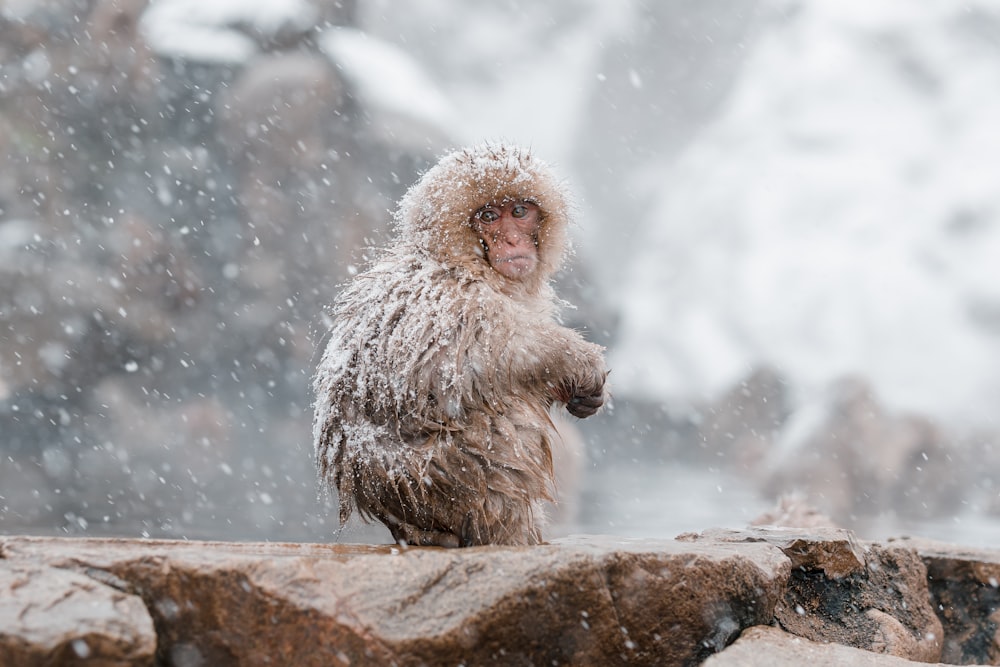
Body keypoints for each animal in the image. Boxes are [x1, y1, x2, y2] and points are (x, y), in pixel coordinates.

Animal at [312, 142, 608, 548]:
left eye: (519, 212)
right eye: (488, 216)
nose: (512, 240)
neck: (462, 261)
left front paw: (581, 394)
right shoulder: (451, 299)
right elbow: (463, 361)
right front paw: (576, 359)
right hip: (445, 479)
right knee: (502, 418)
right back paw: (506, 534)